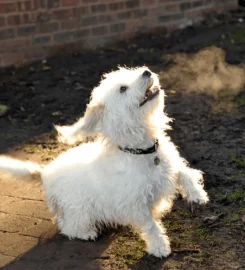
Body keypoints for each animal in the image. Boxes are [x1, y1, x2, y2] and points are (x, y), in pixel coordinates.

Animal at [0, 67, 208, 258]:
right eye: (123, 89)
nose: (147, 71)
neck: (142, 150)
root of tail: (44, 172)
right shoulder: (136, 203)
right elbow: (151, 226)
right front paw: (159, 247)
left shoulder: (171, 165)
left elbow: (185, 173)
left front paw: (198, 195)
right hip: (79, 209)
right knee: (68, 226)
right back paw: (86, 233)